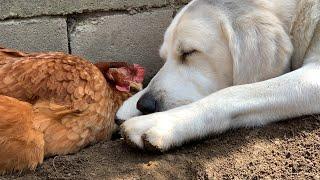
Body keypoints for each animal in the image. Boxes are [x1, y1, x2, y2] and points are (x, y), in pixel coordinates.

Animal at [116, 0, 318, 152]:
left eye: (189, 52)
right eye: (164, 57)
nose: (145, 105)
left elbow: (234, 92)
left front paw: (161, 122)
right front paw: (130, 104)